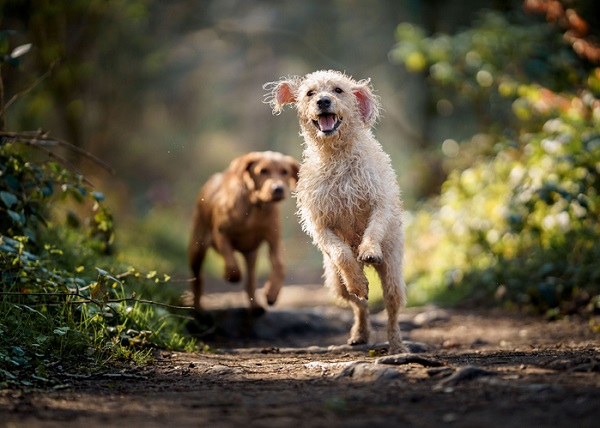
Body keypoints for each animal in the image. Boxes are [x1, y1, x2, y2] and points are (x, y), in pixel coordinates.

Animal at [189, 152, 298, 312]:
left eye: (285, 171)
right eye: (263, 171)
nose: (278, 188)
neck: (255, 206)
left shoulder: (274, 240)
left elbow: (280, 265)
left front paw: (271, 292)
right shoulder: (221, 233)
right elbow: (232, 265)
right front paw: (230, 276)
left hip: (251, 255)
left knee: (250, 280)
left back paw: (255, 306)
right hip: (197, 247)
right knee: (197, 278)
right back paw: (197, 307)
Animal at [266, 68, 408, 352]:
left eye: (338, 90)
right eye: (310, 93)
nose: (323, 101)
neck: (337, 157)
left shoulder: (380, 201)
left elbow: (374, 228)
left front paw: (368, 250)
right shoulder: (319, 223)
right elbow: (341, 254)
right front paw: (357, 278)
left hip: (393, 272)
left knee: (392, 307)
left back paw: (397, 344)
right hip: (335, 282)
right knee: (360, 303)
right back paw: (360, 330)